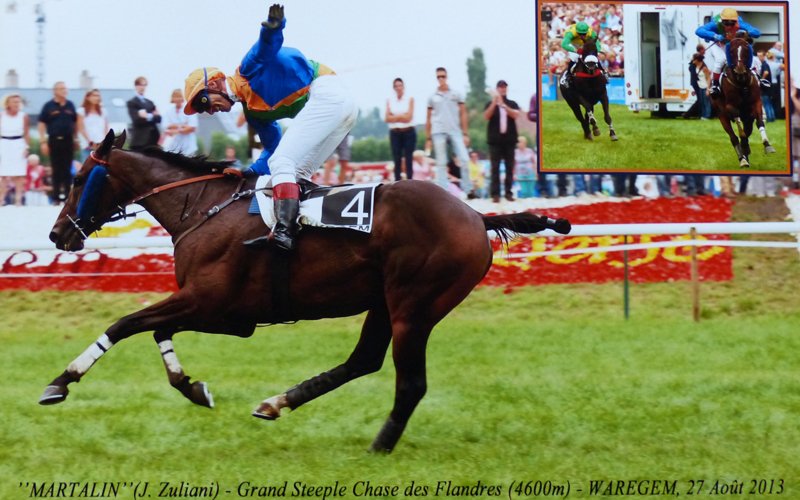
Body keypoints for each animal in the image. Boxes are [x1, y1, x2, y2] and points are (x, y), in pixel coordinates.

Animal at [40, 130, 571, 453]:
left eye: (78, 178)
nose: (57, 234)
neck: (203, 208)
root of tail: (475, 215)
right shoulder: (225, 315)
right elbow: (155, 332)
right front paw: (193, 387)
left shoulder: (211, 304)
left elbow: (126, 323)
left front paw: (60, 382)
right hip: (385, 302)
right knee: (364, 360)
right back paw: (279, 402)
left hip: (414, 306)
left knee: (410, 383)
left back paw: (379, 445)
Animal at [714, 33, 776, 168]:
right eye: (731, 51)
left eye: (746, 50)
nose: (740, 70)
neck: (742, 83)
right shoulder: (730, 107)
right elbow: (739, 131)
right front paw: (744, 151)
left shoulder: (756, 103)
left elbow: (760, 123)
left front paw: (767, 145)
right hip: (722, 115)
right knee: (733, 137)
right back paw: (742, 158)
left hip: (747, 117)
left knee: (747, 131)